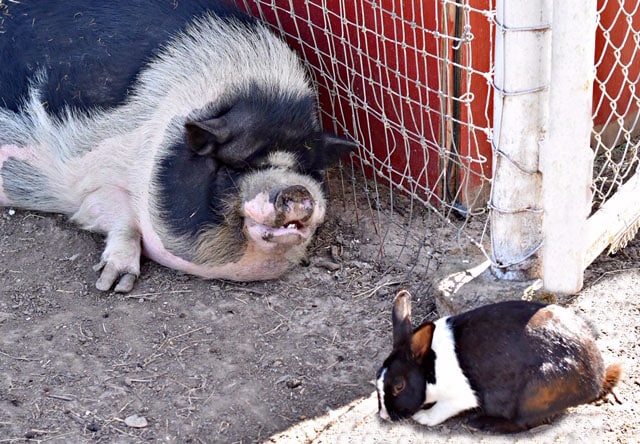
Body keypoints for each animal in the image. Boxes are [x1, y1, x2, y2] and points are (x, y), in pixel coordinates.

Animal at [0, 1, 356, 294]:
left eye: (309, 169)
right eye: (233, 166)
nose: (296, 190)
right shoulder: (91, 174)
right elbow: (121, 220)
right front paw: (113, 284)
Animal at [378, 290, 624, 432]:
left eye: (399, 386)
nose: (384, 416)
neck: (430, 368)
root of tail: (595, 380)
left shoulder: (461, 397)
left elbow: (442, 409)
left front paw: (424, 418)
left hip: (535, 392)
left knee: (525, 423)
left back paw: (483, 424)